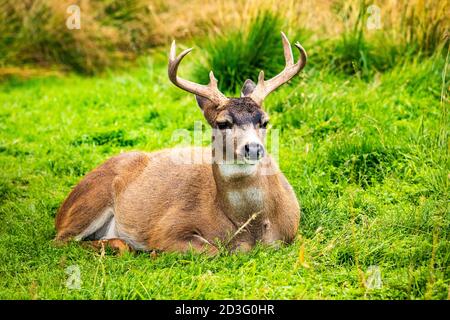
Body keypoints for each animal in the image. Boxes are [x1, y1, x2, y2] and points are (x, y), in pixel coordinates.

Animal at [52, 32, 306, 255]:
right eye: (223, 123)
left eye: (265, 121)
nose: (253, 148)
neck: (250, 228)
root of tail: (62, 210)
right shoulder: (166, 227)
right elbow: (212, 250)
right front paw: (154, 252)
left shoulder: (293, 232)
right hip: (90, 201)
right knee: (61, 241)